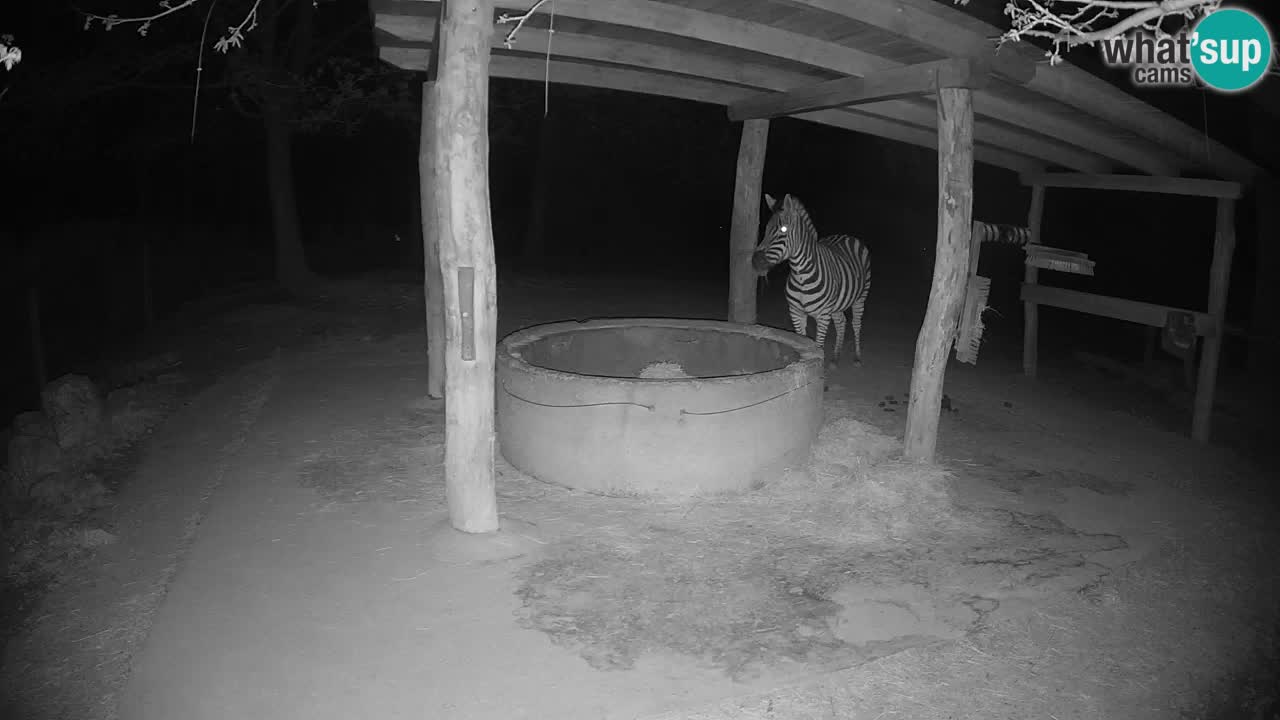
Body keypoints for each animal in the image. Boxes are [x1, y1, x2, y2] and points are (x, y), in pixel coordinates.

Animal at [752, 193, 871, 368]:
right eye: (766, 230)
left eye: (783, 229)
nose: (755, 262)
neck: (801, 275)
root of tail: (846, 235)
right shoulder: (796, 312)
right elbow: (801, 340)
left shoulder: (823, 316)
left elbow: (818, 348)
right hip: (837, 305)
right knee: (841, 322)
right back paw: (835, 358)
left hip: (860, 297)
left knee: (856, 324)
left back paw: (857, 358)